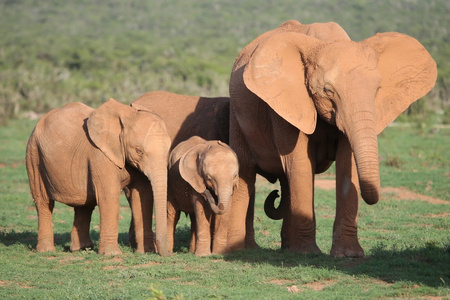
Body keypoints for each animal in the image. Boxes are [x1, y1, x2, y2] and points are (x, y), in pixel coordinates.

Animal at [25, 98, 172, 255]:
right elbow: (110, 194)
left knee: (85, 204)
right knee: (43, 201)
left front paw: (146, 251)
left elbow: (142, 196)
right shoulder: (100, 155)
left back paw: (82, 248)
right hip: (34, 154)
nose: (168, 254)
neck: (127, 115)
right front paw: (112, 254)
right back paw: (46, 251)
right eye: (139, 151)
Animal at [225, 19, 436, 256]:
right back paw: (240, 250)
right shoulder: (284, 104)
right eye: (327, 90)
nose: (274, 194)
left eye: (378, 89)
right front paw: (308, 254)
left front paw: (348, 255)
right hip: (237, 114)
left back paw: (286, 248)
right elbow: (299, 163)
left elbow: (347, 164)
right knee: (246, 173)